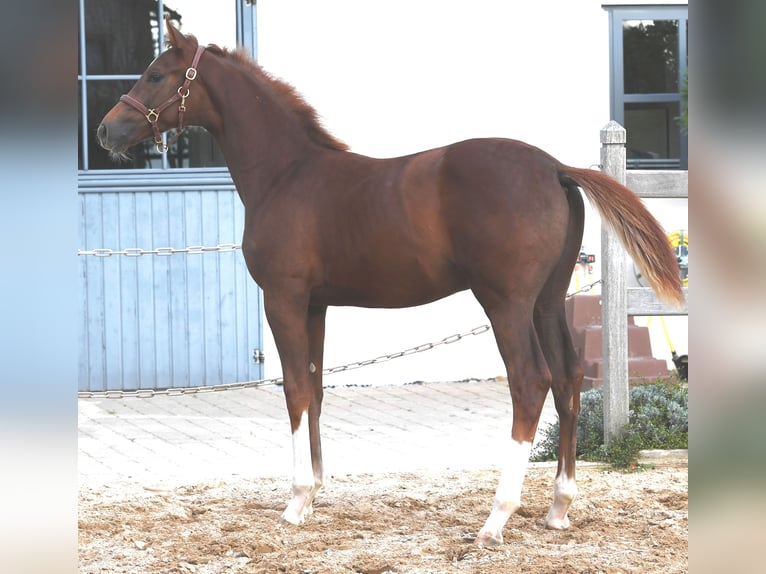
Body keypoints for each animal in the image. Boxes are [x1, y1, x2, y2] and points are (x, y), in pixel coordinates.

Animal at [98, 16, 683, 547]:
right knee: (567, 377)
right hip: (548, 301)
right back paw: (558, 507)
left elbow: (293, 388)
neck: (286, 175)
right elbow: (315, 386)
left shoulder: (283, 298)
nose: (106, 130)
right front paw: (314, 493)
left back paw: (496, 518)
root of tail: (555, 167)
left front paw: (295, 501)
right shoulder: (316, 306)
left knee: (530, 381)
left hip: (506, 304)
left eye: (155, 74)